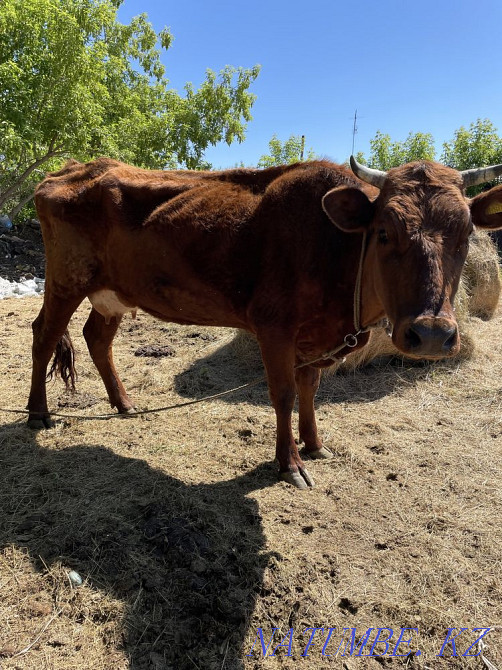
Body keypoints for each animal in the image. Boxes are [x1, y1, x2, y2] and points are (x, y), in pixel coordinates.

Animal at [27, 156, 502, 488]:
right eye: (384, 233)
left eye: (465, 235)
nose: (432, 335)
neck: (336, 250)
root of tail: (73, 168)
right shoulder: (275, 327)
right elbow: (284, 393)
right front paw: (289, 463)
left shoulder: (315, 338)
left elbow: (310, 389)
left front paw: (315, 445)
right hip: (66, 278)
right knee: (44, 336)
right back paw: (38, 414)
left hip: (112, 293)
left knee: (96, 337)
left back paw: (124, 403)